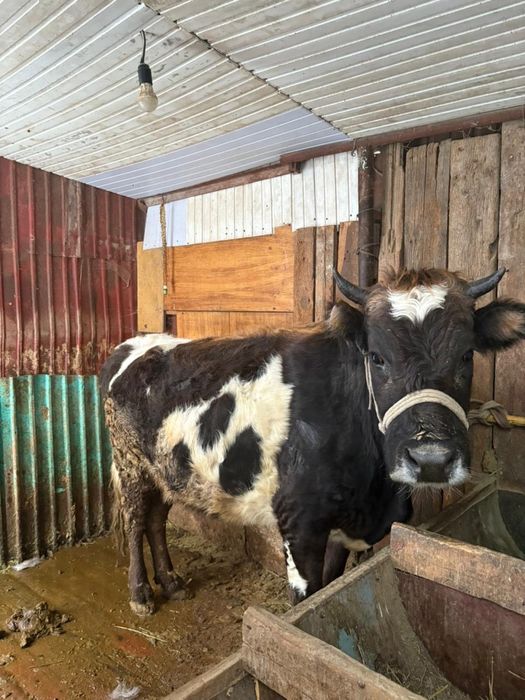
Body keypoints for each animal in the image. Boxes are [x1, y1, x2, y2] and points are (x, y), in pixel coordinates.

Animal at [100, 267, 525, 615]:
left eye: (467, 355)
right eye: (377, 357)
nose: (431, 458)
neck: (372, 494)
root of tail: (136, 343)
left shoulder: (345, 529)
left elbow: (330, 590)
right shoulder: (299, 524)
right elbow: (306, 599)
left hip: (166, 470)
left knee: (157, 520)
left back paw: (172, 583)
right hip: (130, 463)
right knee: (136, 522)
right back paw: (141, 595)